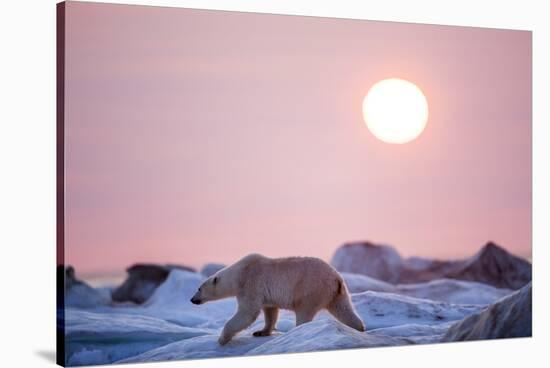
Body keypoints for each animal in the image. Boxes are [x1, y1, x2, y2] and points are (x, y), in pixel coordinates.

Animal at [190, 253, 366, 344]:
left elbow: (247, 313)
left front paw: (222, 339)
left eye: (199, 288)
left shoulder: (251, 284)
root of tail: (336, 277)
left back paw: (297, 331)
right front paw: (260, 332)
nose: (192, 299)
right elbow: (270, 311)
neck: (239, 273)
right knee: (344, 309)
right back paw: (360, 328)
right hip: (337, 293)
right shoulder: (264, 294)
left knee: (304, 311)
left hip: (310, 289)